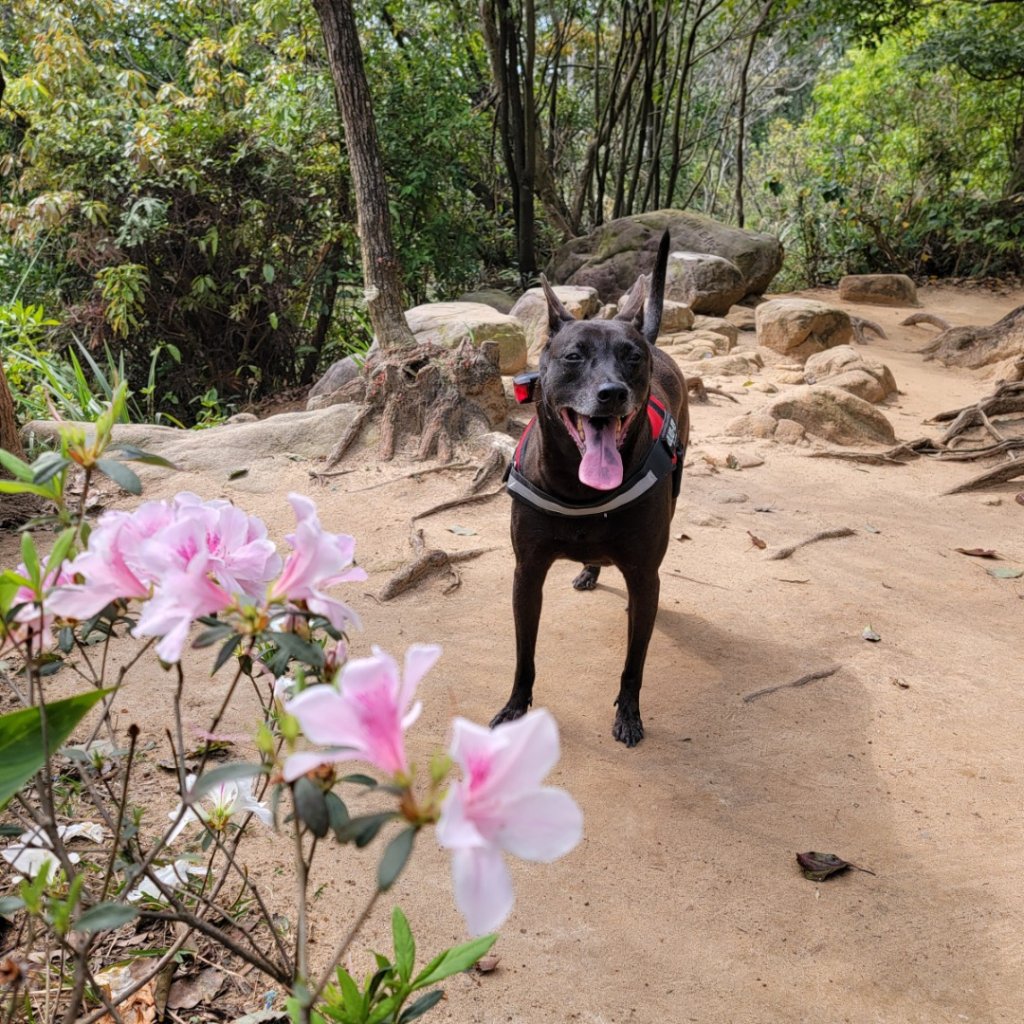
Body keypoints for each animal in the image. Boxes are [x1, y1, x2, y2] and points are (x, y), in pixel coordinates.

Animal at [493, 230, 692, 745]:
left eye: (631, 357)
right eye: (573, 356)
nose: (612, 393)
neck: (580, 491)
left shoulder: (644, 576)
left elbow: (634, 662)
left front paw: (630, 714)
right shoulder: (527, 574)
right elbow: (524, 654)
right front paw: (515, 706)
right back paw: (589, 569)